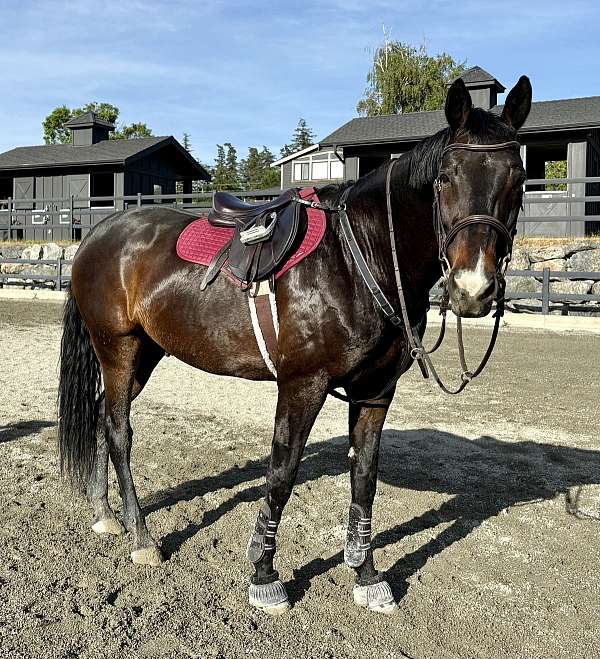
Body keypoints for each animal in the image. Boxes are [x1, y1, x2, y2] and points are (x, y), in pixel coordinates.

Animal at [58, 75, 532, 615]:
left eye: (518, 177)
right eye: (446, 177)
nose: (473, 289)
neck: (355, 258)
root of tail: (100, 232)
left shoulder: (375, 392)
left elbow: (364, 479)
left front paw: (366, 575)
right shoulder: (303, 385)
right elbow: (281, 474)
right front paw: (264, 575)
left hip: (145, 354)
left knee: (101, 416)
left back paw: (104, 513)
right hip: (117, 349)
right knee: (119, 431)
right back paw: (140, 537)